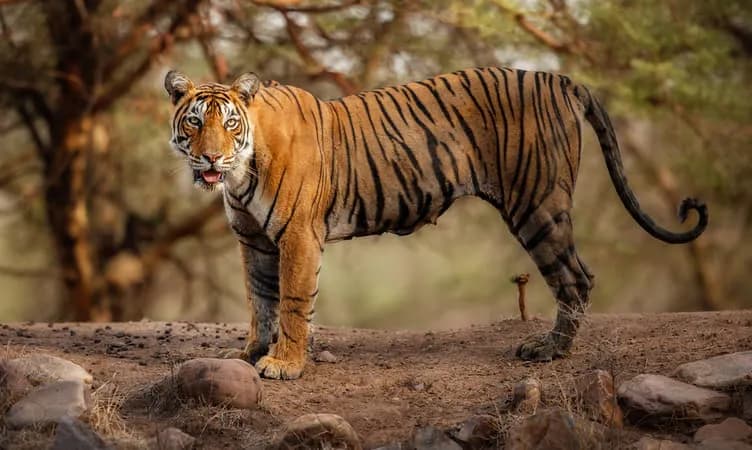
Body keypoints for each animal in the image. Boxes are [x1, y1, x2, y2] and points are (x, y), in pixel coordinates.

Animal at [164, 67, 708, 380]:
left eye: (228, 123)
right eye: (194, 122)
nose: (210, 157)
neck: (239, 173)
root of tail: (561, 79)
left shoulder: (298, 236)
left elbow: (293, 303)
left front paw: (284, 365)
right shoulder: (253, 240)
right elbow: (261, 301)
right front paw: (251, 353)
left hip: (537, 204)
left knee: (576, 278)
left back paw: (549, 350)